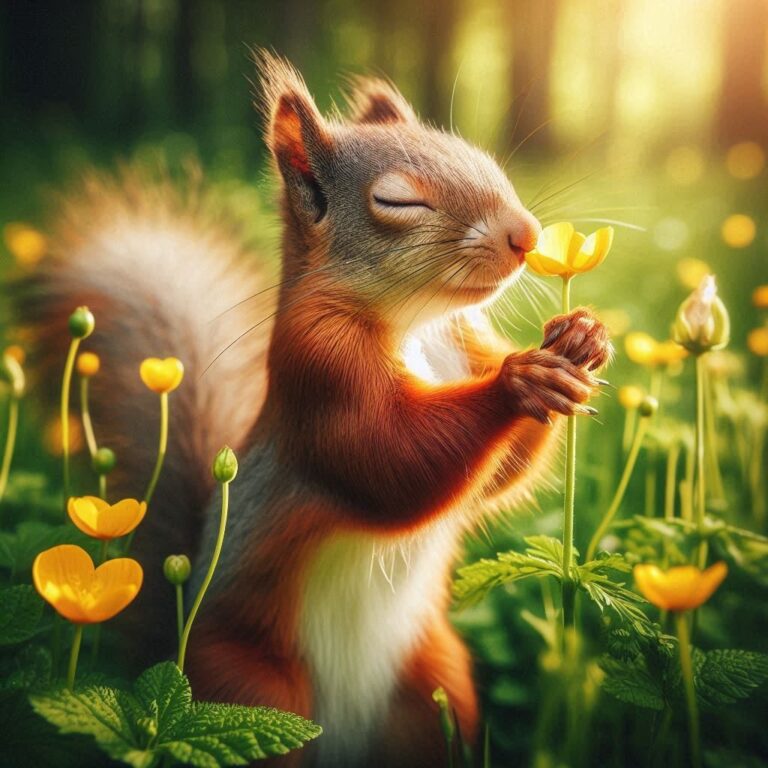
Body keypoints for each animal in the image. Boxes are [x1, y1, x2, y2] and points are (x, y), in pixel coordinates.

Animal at [21, 51, 611, 768]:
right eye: (398, 200)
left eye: (481, 159)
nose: (527, 235)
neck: (415, 323)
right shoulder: (319, 370)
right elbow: (390, 459)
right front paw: (518, 381)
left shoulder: (464, 340)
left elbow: (501, 473)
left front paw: (580, 337)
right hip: (254, 688)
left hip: (435, 686)